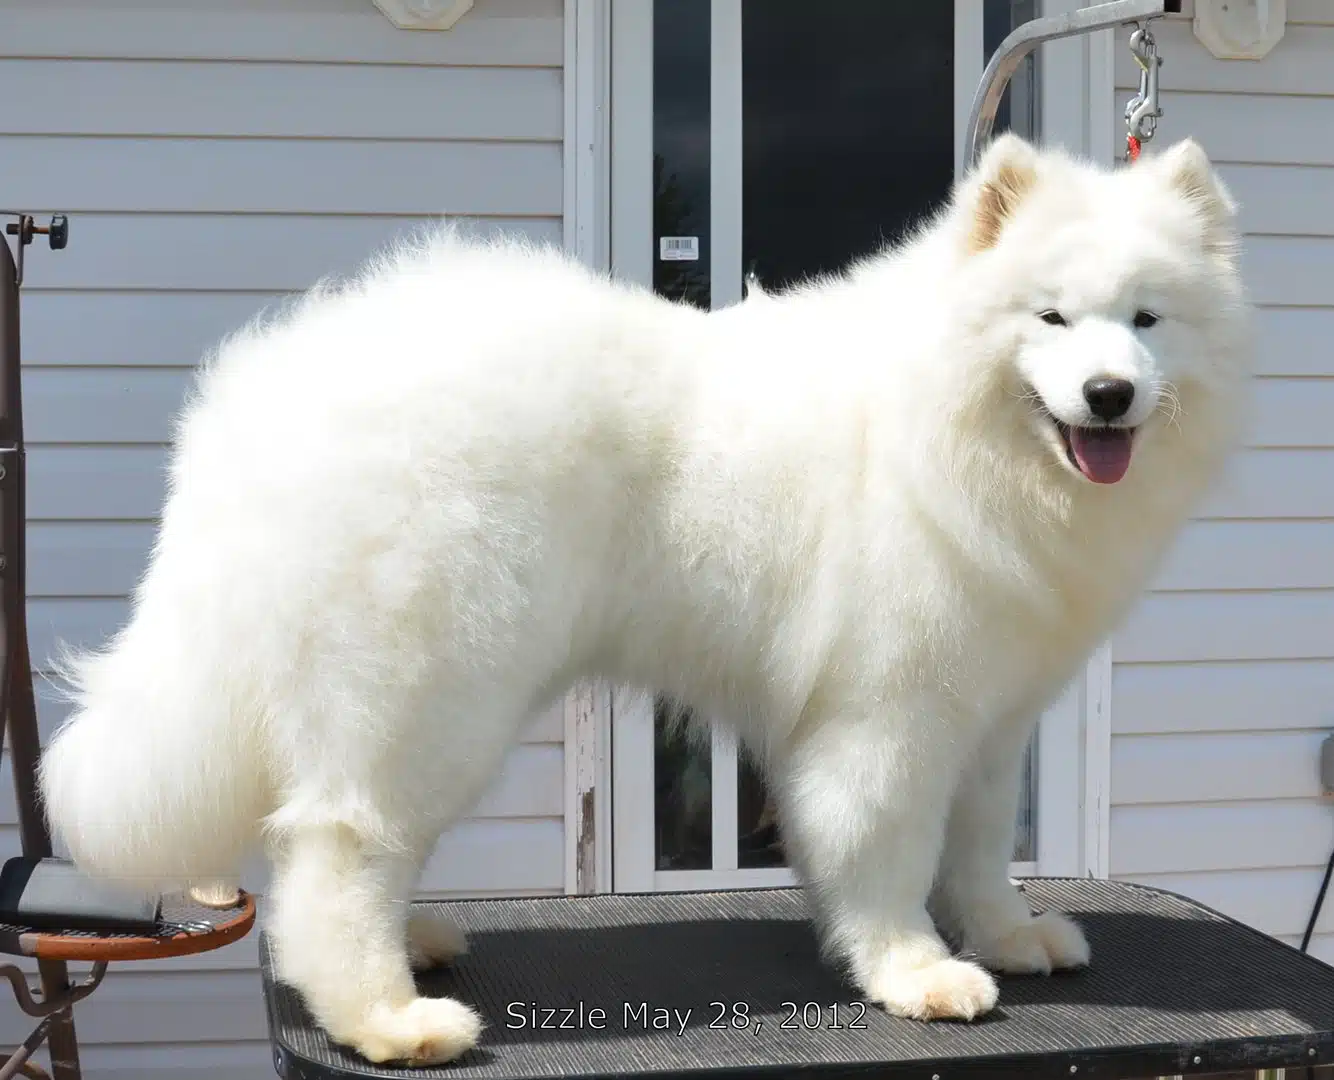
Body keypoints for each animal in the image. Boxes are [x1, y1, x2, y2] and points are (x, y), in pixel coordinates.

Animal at [41, 132, 1248, 1061]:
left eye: (1147, 320)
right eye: (1051, 320)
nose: (1108, 393)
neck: (953, 433)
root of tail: (270, 387)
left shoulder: (993, 717)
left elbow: (982, 846)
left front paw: (1005, 937)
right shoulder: (889, 714)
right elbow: (888, 850)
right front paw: (914, 971)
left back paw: (414, 945)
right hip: (434, 685)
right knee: (337, 845)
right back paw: (388, 1017)